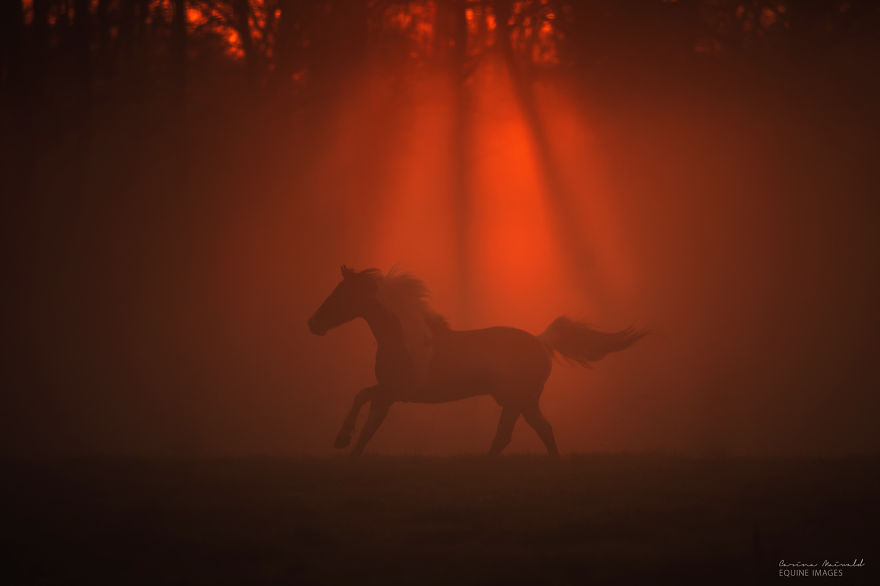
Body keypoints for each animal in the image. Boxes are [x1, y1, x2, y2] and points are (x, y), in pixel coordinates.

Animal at [308, 265, 644, 456]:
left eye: (342, 293)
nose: (313, 324)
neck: (405, 339)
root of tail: (541, 341)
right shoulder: (388, 394)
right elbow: (369, 429)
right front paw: (349, 448)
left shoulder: (396, 390)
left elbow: (360, 396)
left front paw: (341, 439)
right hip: (519, 401)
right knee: (534, 431)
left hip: (519, 399)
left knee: (517, 433)